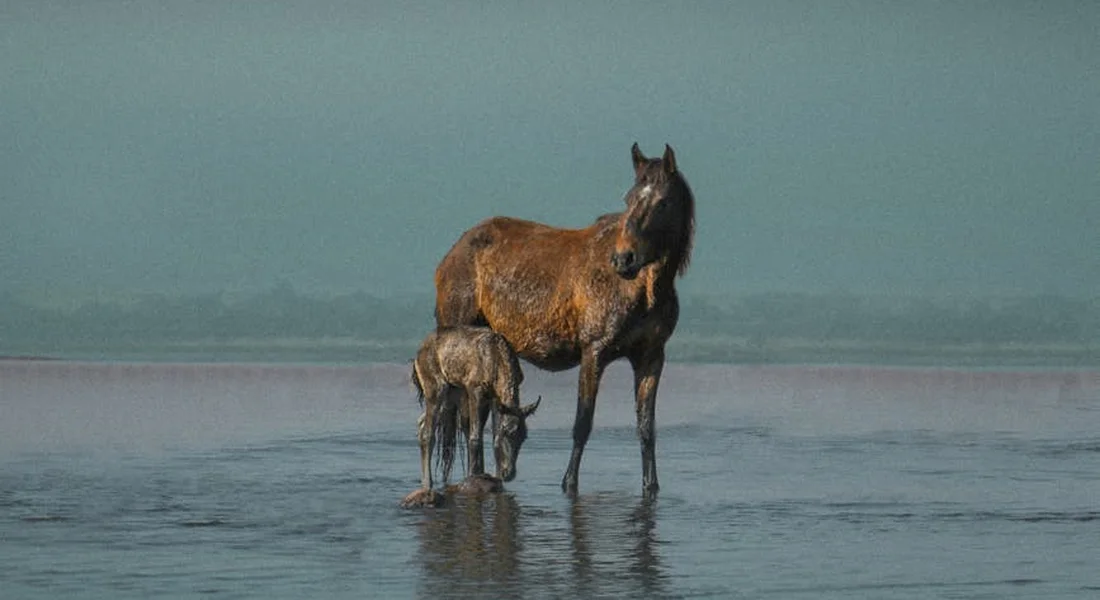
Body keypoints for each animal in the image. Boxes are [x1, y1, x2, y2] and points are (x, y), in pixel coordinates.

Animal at [411, 325, 541, 492]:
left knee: (421, 423)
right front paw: (473, 476)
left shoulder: (494, 399)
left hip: (452, 395)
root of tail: (416, 358)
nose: (509, 474)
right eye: (507, 433)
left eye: (523, 437)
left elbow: (493, 440)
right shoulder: (475, 390)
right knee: (429, 433)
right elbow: (475, 437)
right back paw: (428, 483)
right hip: (436, 388)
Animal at [434, 143, 694, 496]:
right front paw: (568, 483)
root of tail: (450, 256)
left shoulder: (651, 356)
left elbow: (646, 426)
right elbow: (582, 422)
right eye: (629, 197)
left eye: (663, 201)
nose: (624, 259)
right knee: (465, 418)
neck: (643, 289)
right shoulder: (594, 351)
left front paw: (650, 486)